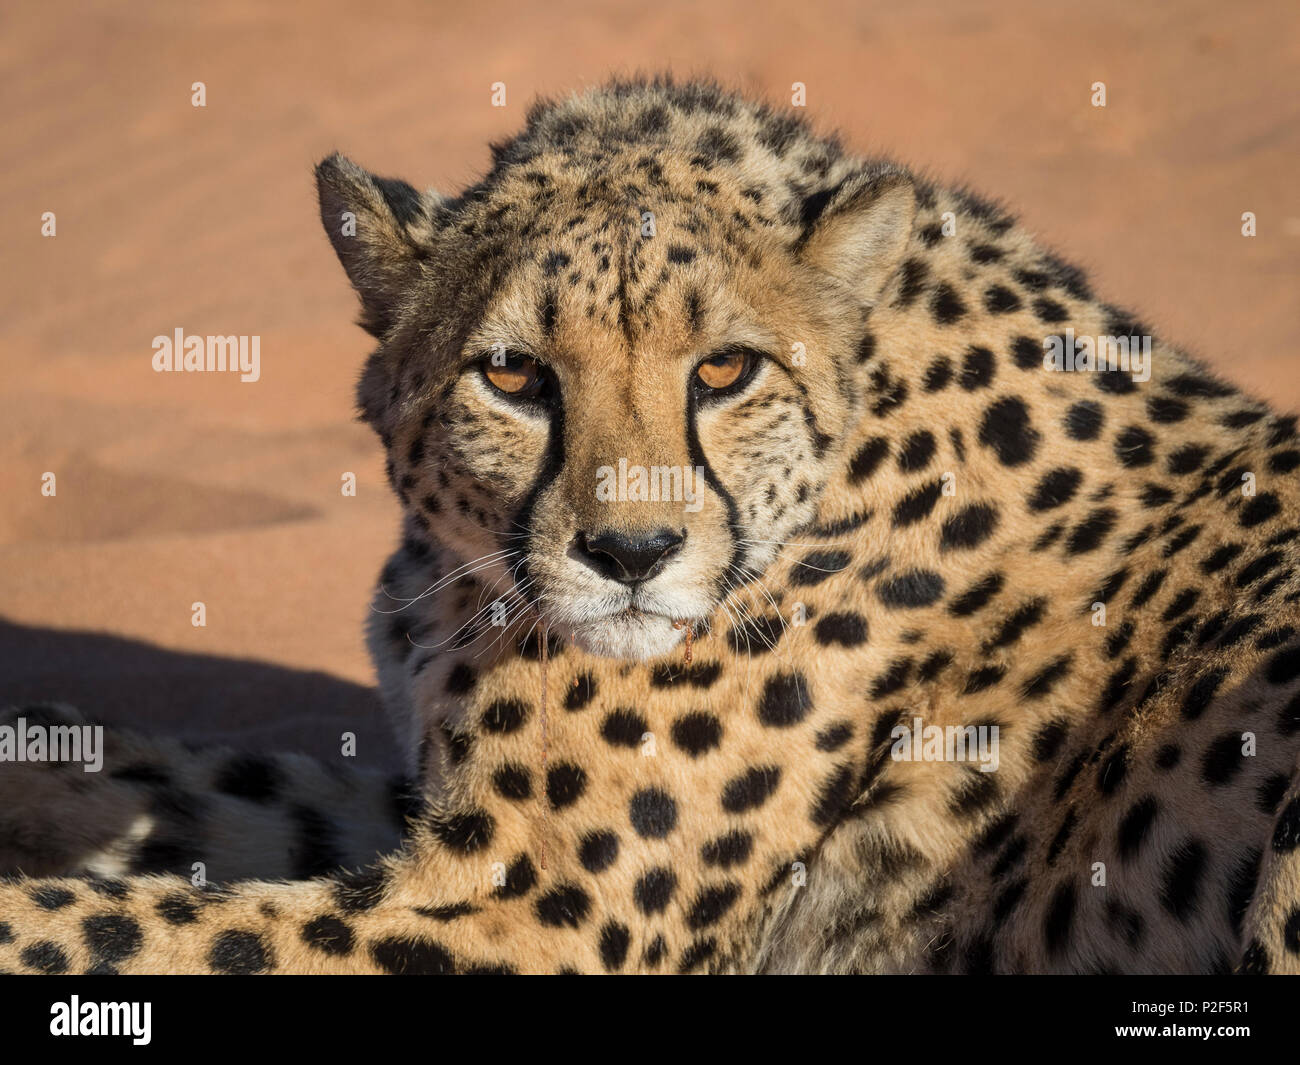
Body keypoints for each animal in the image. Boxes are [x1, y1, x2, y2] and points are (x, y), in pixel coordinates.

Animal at [2, 74, 1300, 975]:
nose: (630, 556)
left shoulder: (531, 911)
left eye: (724, 369)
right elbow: (178, 782)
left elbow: (128, 926)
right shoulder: (427, 810)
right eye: (513, 374)